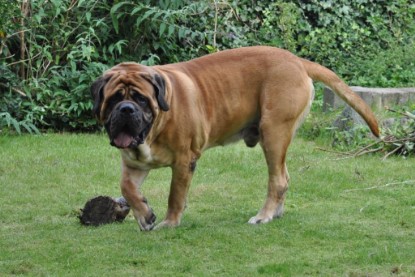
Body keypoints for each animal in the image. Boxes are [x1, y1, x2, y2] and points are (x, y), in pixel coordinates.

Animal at [91, 46, 380, 230]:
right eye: (114, 98)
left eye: (141, 99)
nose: (126, 110)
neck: (157, 123)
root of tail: (297, 60)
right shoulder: (133, 164)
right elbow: (126, 188)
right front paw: (145, 215)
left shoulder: (184, 160)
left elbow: (175, 195)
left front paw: (169, 222)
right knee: (284, 177)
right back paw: (275, 213)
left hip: (274, 132)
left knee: (277, 180)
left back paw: (263, 216)